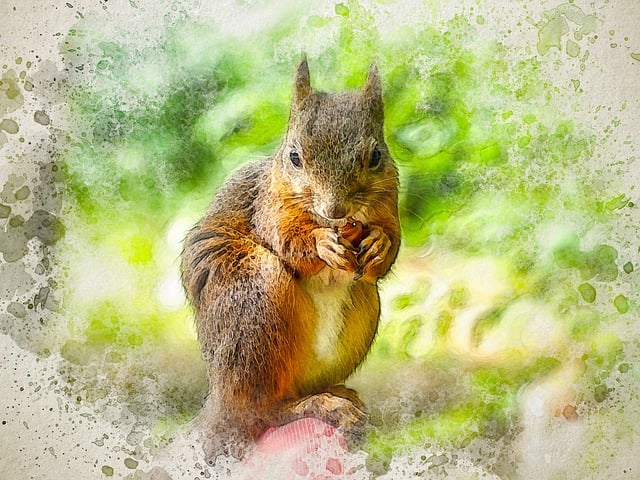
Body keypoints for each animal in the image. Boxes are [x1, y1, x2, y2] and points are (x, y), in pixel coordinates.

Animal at [181, 57, 400, 462]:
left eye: (376, 156)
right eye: (294, 157)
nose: (335, 210)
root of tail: (219, 403)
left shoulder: (388, 200)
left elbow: (391, 246)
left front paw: (378, 243)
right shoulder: (268, 205)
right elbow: (286, 239)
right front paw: (320, 243)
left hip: (364, 307)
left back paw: (335, 395)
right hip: (255, 298)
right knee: (262, 411)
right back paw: (315, 406)